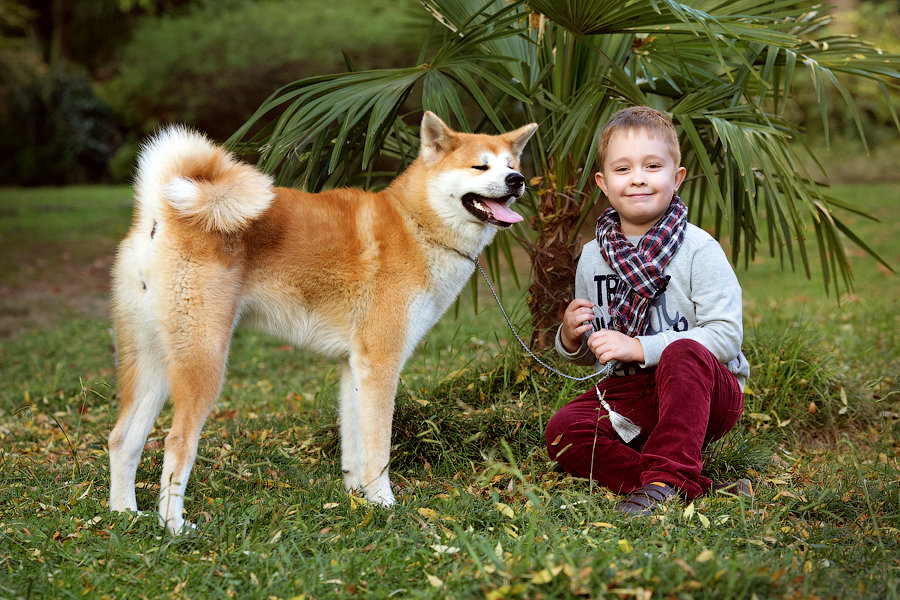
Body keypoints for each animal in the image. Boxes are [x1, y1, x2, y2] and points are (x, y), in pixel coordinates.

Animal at [109, 112, 536, 536]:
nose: (517, 181)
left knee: (122, 439)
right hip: (205, 362)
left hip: (153, 365)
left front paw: (358, 498)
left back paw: (124, 513)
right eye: (480, 167)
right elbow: (378, 449)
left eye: (511, 165)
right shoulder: (381, 364)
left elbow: (354, 448)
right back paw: (175, 526)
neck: (417, 224)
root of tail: (161, 212)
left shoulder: (354, 366)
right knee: (176, 442)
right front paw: (386, 504)